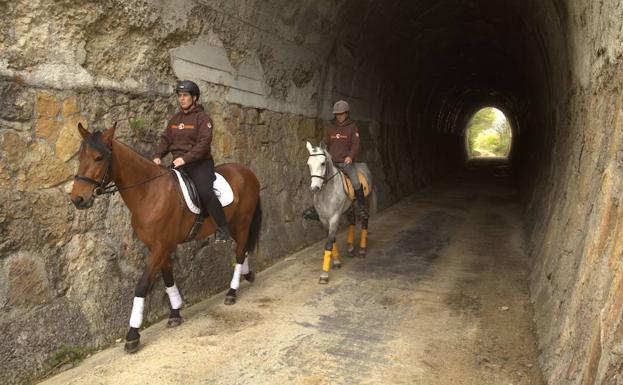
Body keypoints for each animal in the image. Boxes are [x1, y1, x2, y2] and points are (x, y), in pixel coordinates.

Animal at [70, 123, 260, 352]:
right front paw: (175, 312)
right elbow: (168, 278)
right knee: (243, 248)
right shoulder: (158, 246)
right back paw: (247, 275)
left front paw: (132, 335)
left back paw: (232, 292)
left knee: (240, 251)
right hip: (232, 223)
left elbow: (142, 285)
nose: (78, 199)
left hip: (243, 221)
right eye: (81, 158)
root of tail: (246, 171)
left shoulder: (161, 246)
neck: (148, 192)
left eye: (99, 158)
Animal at [304, 141, 372, 282]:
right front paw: (336, 262)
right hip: (349, 206)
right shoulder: (324, 220)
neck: (326, 193)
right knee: (352, 221)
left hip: (366, 201)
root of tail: (363, 165)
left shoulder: (334, 218)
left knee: (364, 222)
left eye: (323, 163)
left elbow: (329, 243)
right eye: (308, 164)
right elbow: (332, 240)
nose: (314, 188)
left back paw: (362, 250)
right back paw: (350, 248)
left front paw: (324, 275)